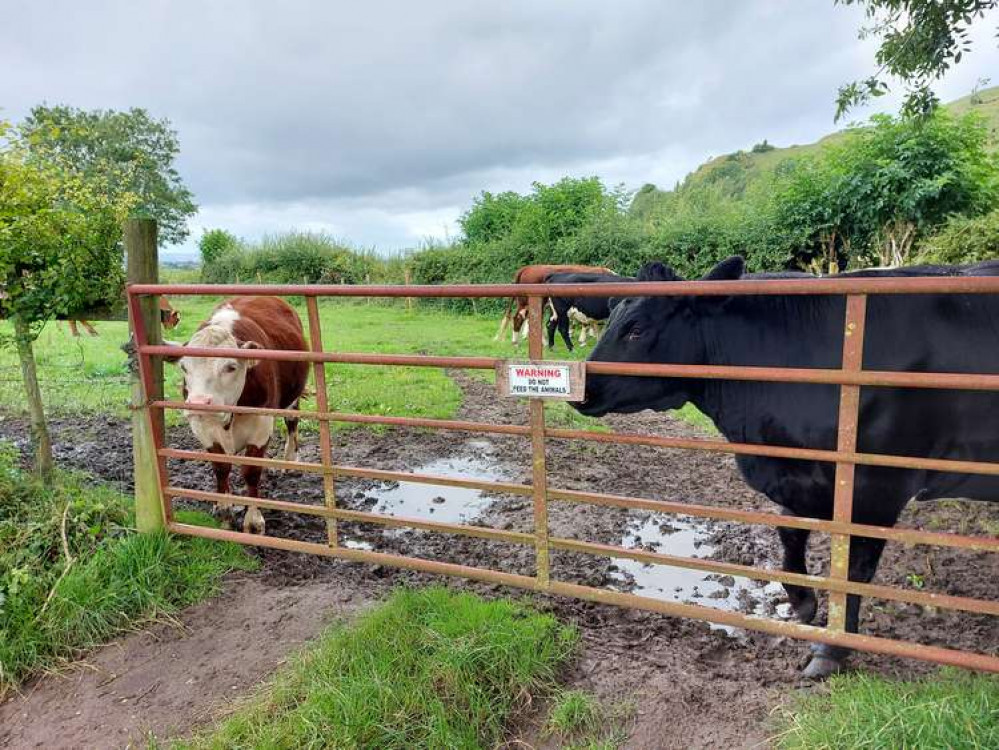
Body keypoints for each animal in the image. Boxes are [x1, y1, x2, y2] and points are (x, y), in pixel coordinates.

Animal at [170, 296, 308, 536]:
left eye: (231, 366)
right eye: (184, 367)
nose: (199, 403)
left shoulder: (261, 426)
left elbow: (251, 472)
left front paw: (253, 521)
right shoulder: (204, 429)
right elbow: (221, 468)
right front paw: (224, 509)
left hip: (292, 398)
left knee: (292, 423)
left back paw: (290, 459)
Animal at [576, 256, 999, 680]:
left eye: (637, 328)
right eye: (611, 314)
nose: (582, 389)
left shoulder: (875, 488)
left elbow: (853, 571)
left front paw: (831, 649)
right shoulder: (801, 475)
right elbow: (788, 533)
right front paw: (801, 602)